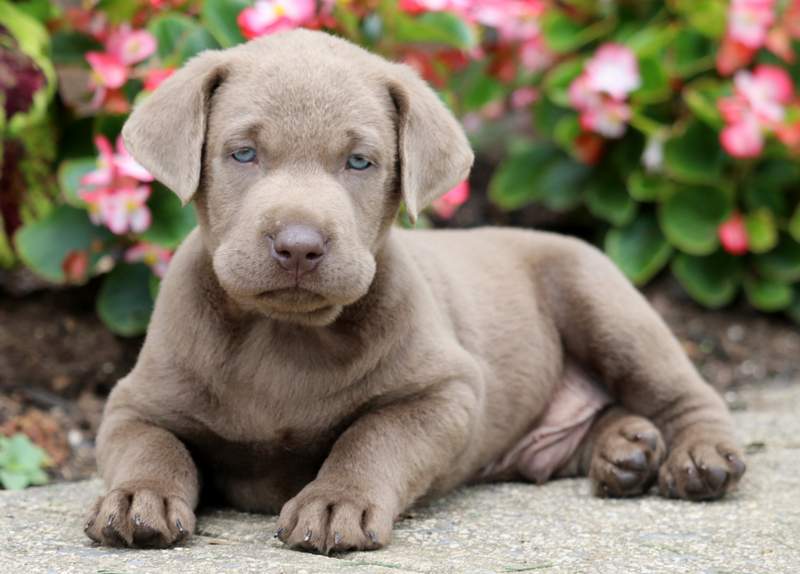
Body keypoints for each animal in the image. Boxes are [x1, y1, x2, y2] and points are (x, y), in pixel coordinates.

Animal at [84, 30, 748, 552]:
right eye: (243, 153)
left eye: (359, 162)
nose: (299, 245)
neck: (285, 335)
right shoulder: (134, 403)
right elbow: (153, 446)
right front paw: (137, 498)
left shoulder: (445, 391)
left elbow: (370, 437)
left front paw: (335, 502)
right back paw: (625, 450)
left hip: (601, 301)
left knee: (686, 392)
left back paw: (697, 457)